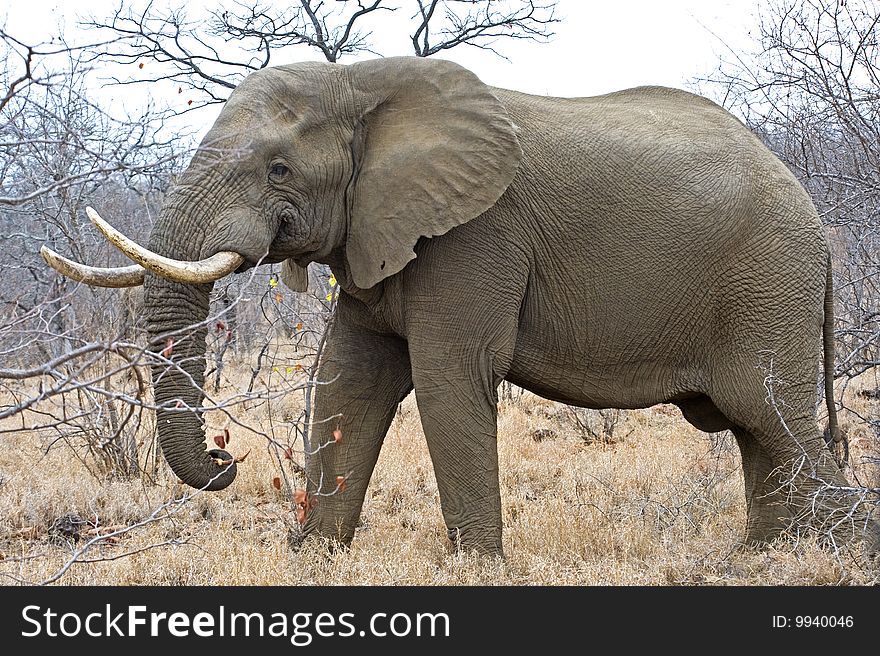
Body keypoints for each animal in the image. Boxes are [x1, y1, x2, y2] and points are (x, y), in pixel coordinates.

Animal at [43, 56, 880, 560]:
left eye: (278, 169)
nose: (225, 459)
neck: (364, 83)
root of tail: (815, 218)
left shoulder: (476, 237)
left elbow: (448, 377)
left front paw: (477, 566)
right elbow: (349, 381)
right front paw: (315, 558)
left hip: (767, 280)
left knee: (774, 420)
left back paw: (838, 552)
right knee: (755, 431)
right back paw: (763, 557)